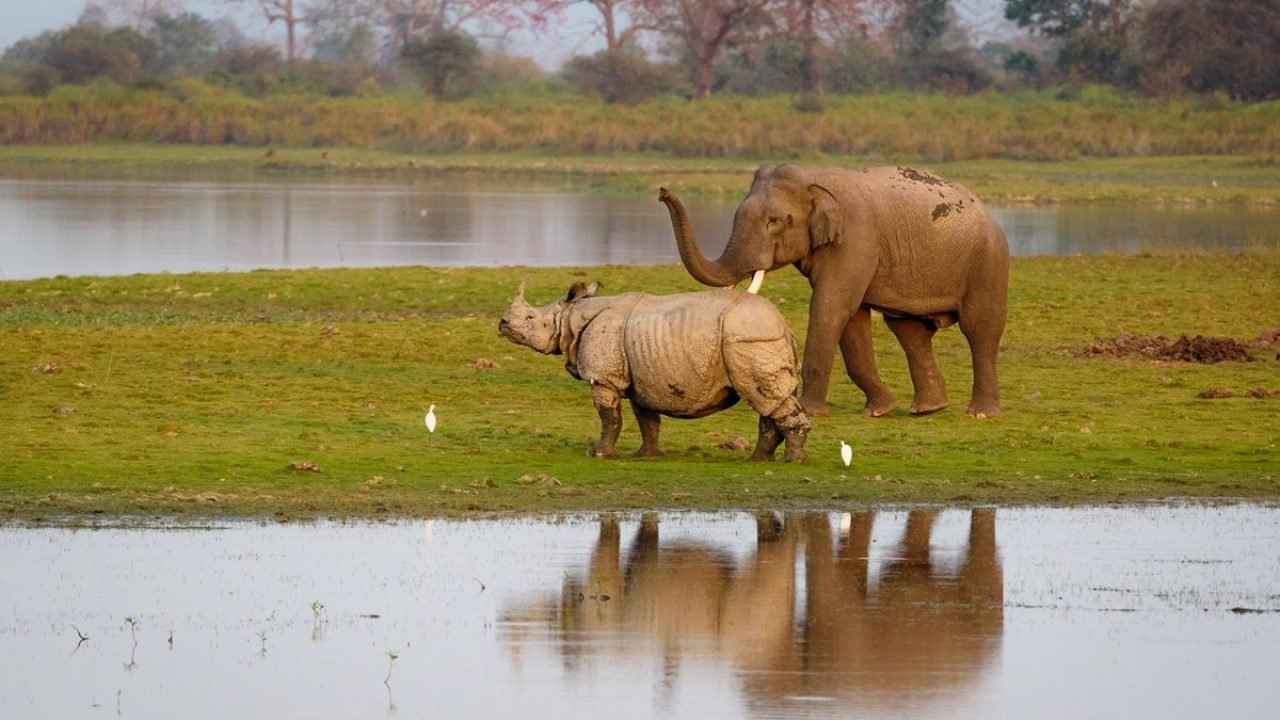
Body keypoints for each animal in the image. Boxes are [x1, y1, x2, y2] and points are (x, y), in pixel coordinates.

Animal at [497, 280, 810, 460]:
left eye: (530, 317)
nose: (502, 323)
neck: (570, 317)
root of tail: (783, 325)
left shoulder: (604, 378)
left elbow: (609, 417)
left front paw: (597, 454)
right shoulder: (643, 376)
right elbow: (646, 419)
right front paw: (645, 455)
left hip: (751, 339)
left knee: (765, 397)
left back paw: (792, 461)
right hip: (761, 339)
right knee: (769, 400)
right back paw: (758, 459)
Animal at [660, 164, 1010, 418]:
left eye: (774, 222)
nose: (662, 191)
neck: (815, 178)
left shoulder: (855, 239)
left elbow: (831, 306)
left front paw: (811, 412)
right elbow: (852, 318)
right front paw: (879, 410)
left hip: (988, 262)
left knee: (979, 329)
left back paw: (980, 414)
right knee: (910, 331)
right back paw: (927, 410)